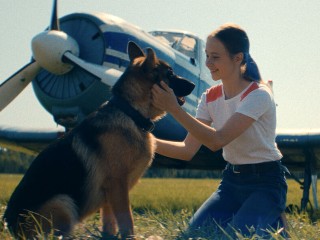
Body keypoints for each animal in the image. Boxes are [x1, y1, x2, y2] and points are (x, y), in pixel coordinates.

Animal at [3, 42, 195, 239]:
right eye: (170, 73)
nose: (194, 85)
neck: (129, 112)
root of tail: (10, 225)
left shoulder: (109, 192)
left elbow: (109, 222)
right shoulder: (117, 184)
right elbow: (127, 220)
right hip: (64, 202)